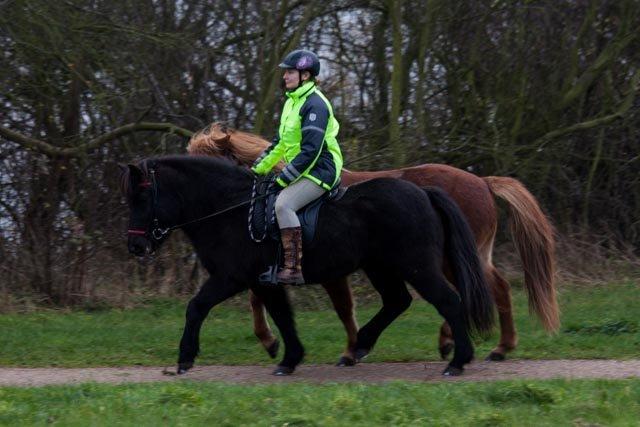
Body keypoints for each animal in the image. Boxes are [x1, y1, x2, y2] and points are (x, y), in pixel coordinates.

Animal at [121, 155, 496, 376]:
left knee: (448, 301)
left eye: (142, 196)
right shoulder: (264, 281)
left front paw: (184, 358)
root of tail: (424, 193)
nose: (136, 246)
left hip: (417, 266)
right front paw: (289, 358)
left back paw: (458, 361)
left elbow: (196, 307)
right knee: (396, 302)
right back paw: (359, 345)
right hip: (382, 267)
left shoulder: (231, 277)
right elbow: (283, 317)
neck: (230, 210)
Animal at [185, 123, 556, 364]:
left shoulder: (326, 269)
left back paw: (489, 346)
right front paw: (272, 342)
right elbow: (257, 298)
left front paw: (351, 349)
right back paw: (468, 343)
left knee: (488, 289)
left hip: (452, 257)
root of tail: (481, 181)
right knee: (483, 289)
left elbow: (342, 307)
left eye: (211, 159)